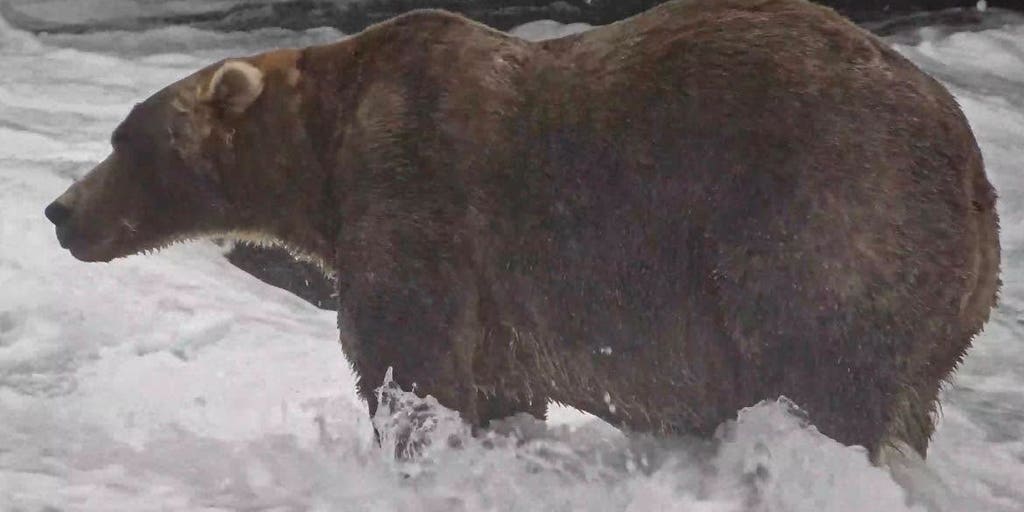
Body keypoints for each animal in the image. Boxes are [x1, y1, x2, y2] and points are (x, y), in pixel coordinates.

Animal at [45, 0, 999, 461]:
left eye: (123, 138)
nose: (60, 212)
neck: (322, 157)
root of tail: (971, 165)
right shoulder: (498, 299)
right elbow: (496, 384)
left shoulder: (418, 190)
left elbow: (408, 358)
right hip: (943, 307)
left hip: (824, 216)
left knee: (818, 372)